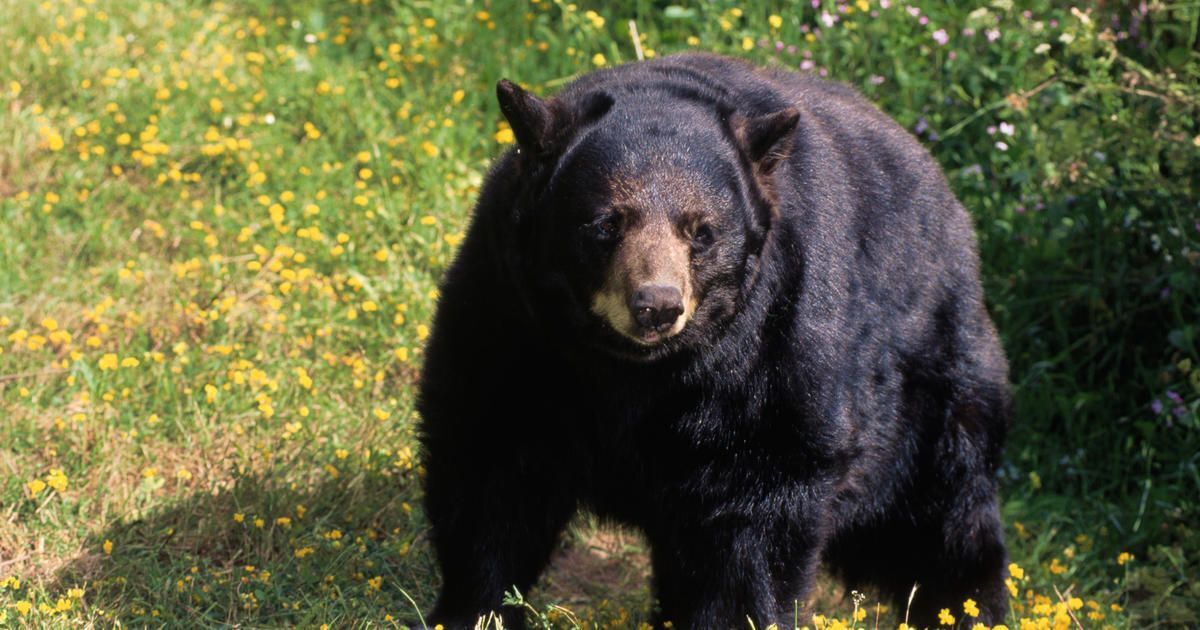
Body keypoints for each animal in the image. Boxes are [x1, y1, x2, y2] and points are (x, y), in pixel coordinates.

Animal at [417, 54, 1008, 628]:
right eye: (606, 223)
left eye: (701, 231)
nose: (657, 304)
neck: (631, 372)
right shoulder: (512, 318)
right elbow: (491, 462)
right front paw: (471, 609)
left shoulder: (774, 346)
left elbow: (754, 512)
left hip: (929, 386)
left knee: (942, 512)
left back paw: (969, 609)